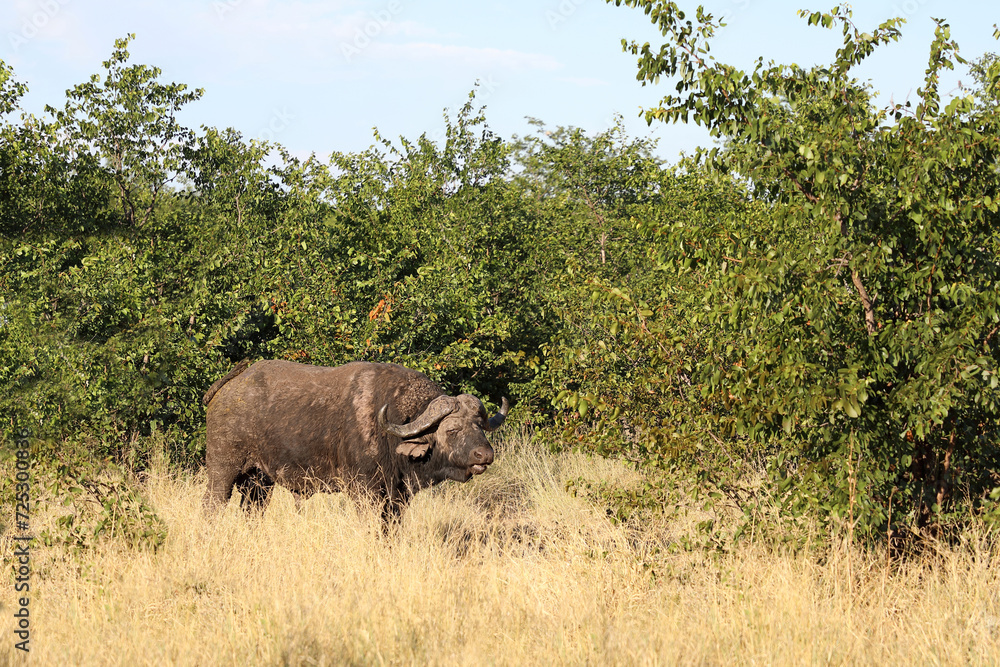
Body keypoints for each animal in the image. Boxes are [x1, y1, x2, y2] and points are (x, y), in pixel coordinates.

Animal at [200, 360, 508, 516]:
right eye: (452, 430)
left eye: (479, 426)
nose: (485, 455)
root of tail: (228, 388)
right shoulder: (365, 494)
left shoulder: (397, 500)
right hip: (222, 471)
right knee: (211, 506)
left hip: (259, 483)